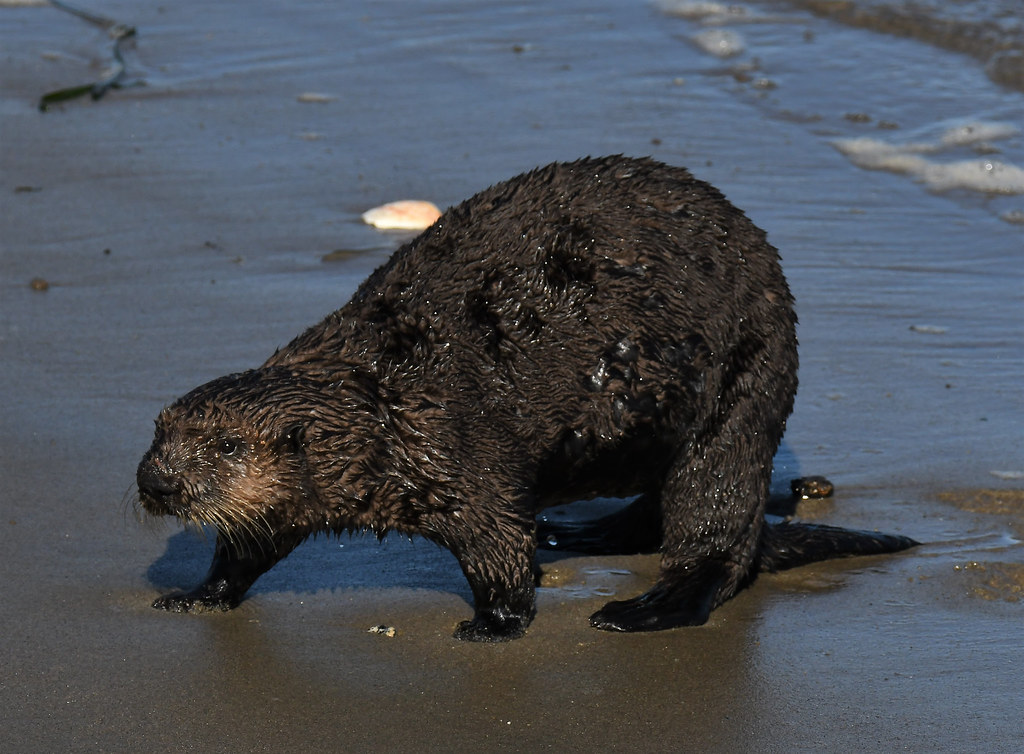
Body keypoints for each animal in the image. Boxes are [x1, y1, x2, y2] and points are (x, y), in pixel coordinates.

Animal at [137, 156, 917, 641]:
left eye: (225, 446)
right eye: (158, 432)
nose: (156, 482)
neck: (381, 401)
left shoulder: (454, 452)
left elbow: (500, 545)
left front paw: (493, 624)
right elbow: (250, 543)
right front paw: (196, 594)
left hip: (744, 389)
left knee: (716, 534)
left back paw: (642, 607)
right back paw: (581, 532)